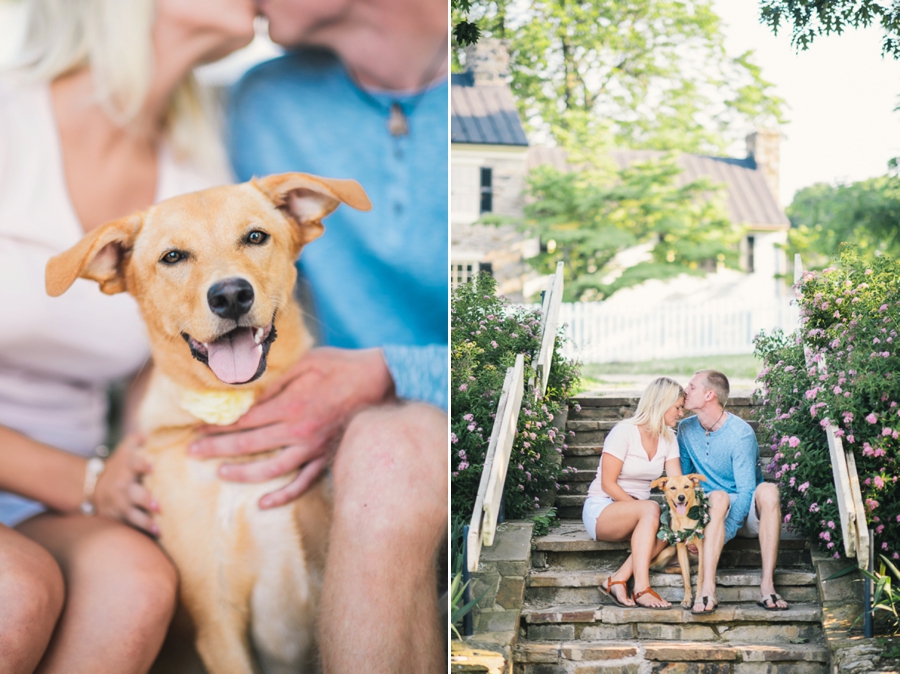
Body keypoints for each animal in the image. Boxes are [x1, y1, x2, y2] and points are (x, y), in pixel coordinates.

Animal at [652, 472, 712, 608]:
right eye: (673, 488)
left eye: (686, 486)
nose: (681, 497)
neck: (684, 517)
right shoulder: (681, 548)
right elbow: (686, 578)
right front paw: (687, 599)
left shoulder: (701, 548)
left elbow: (701, 578)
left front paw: (698, 599)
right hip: (669, 551)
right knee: (659, 568)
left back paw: (692, 569)